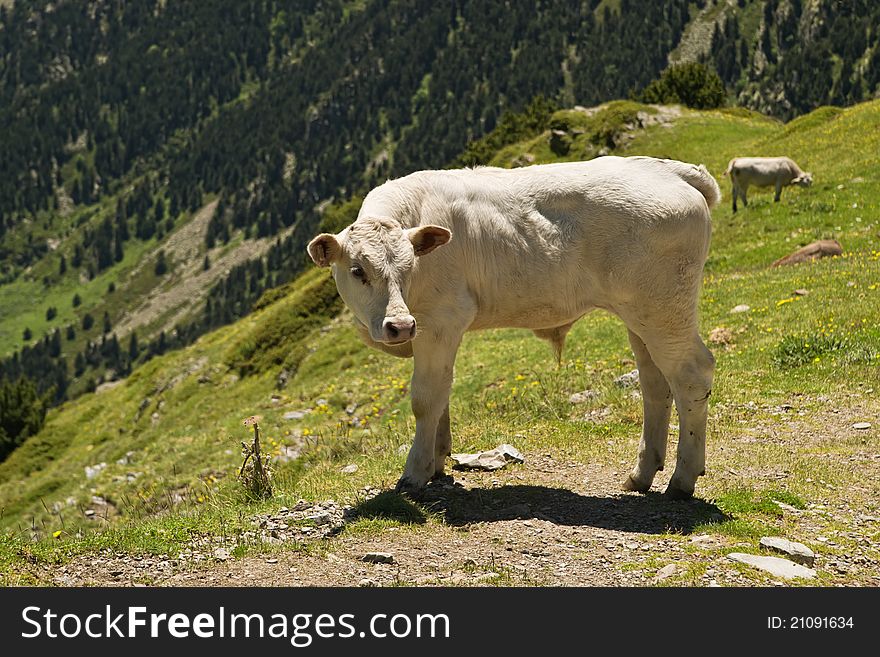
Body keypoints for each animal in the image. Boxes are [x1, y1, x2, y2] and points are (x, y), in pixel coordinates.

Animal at [310, 158, 720, 498]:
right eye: (357, 270)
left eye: (409, 267)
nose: (399, 325)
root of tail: (669, 169)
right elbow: (442, 395)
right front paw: (438, 464)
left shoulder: (441, 321)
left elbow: (426, 399)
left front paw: (414, 474)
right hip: (641, 316)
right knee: (655, 384)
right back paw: (641, 474)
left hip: (665, 310)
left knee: (691, 376)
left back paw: (682, 480)